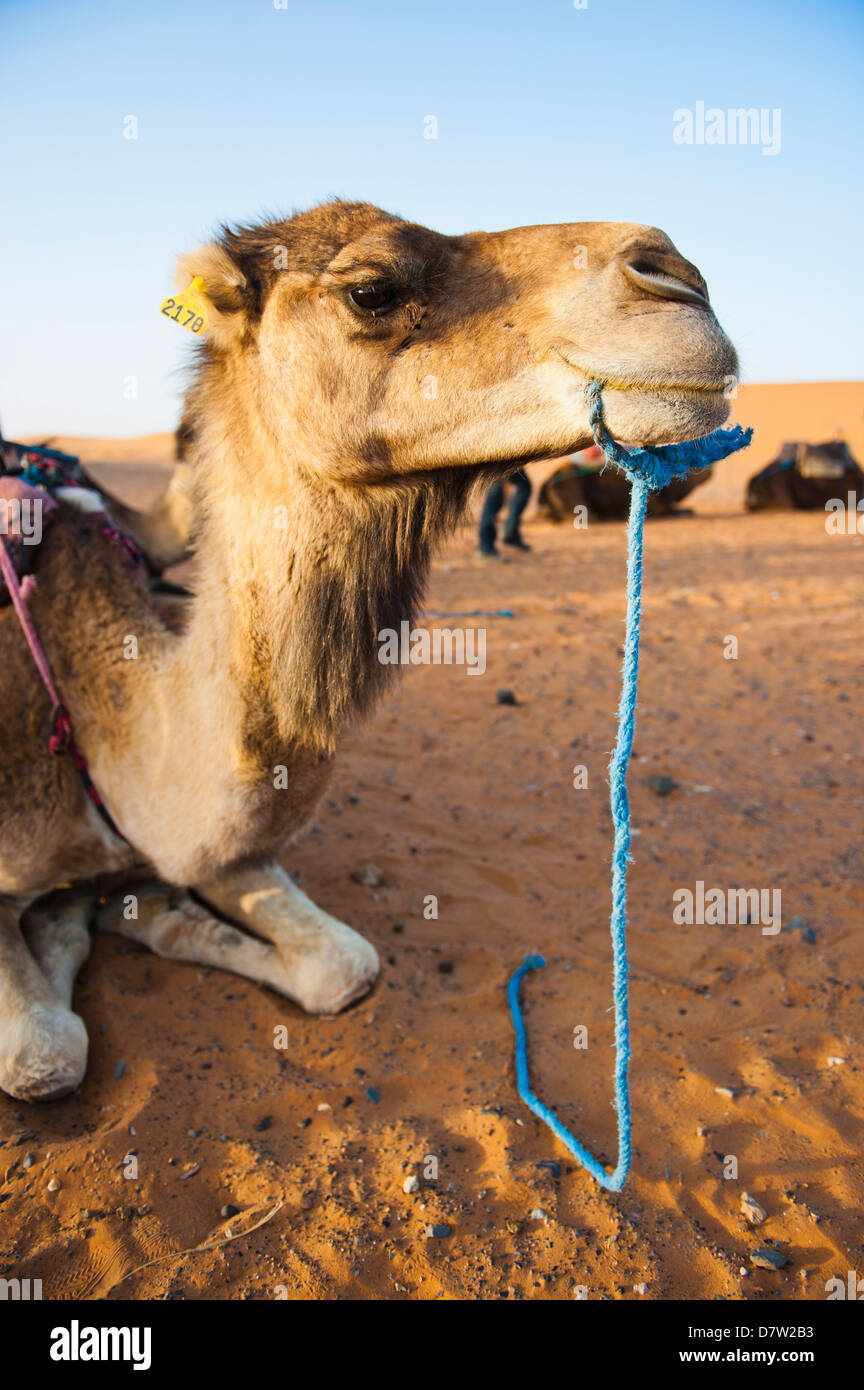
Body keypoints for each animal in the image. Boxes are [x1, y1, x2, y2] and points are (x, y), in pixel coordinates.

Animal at [1, 201, 744, 1100]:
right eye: (372, 289)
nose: (679, 278)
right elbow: (44, 1055)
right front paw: (82, 918)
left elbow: (344, 965)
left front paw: (129, 911)